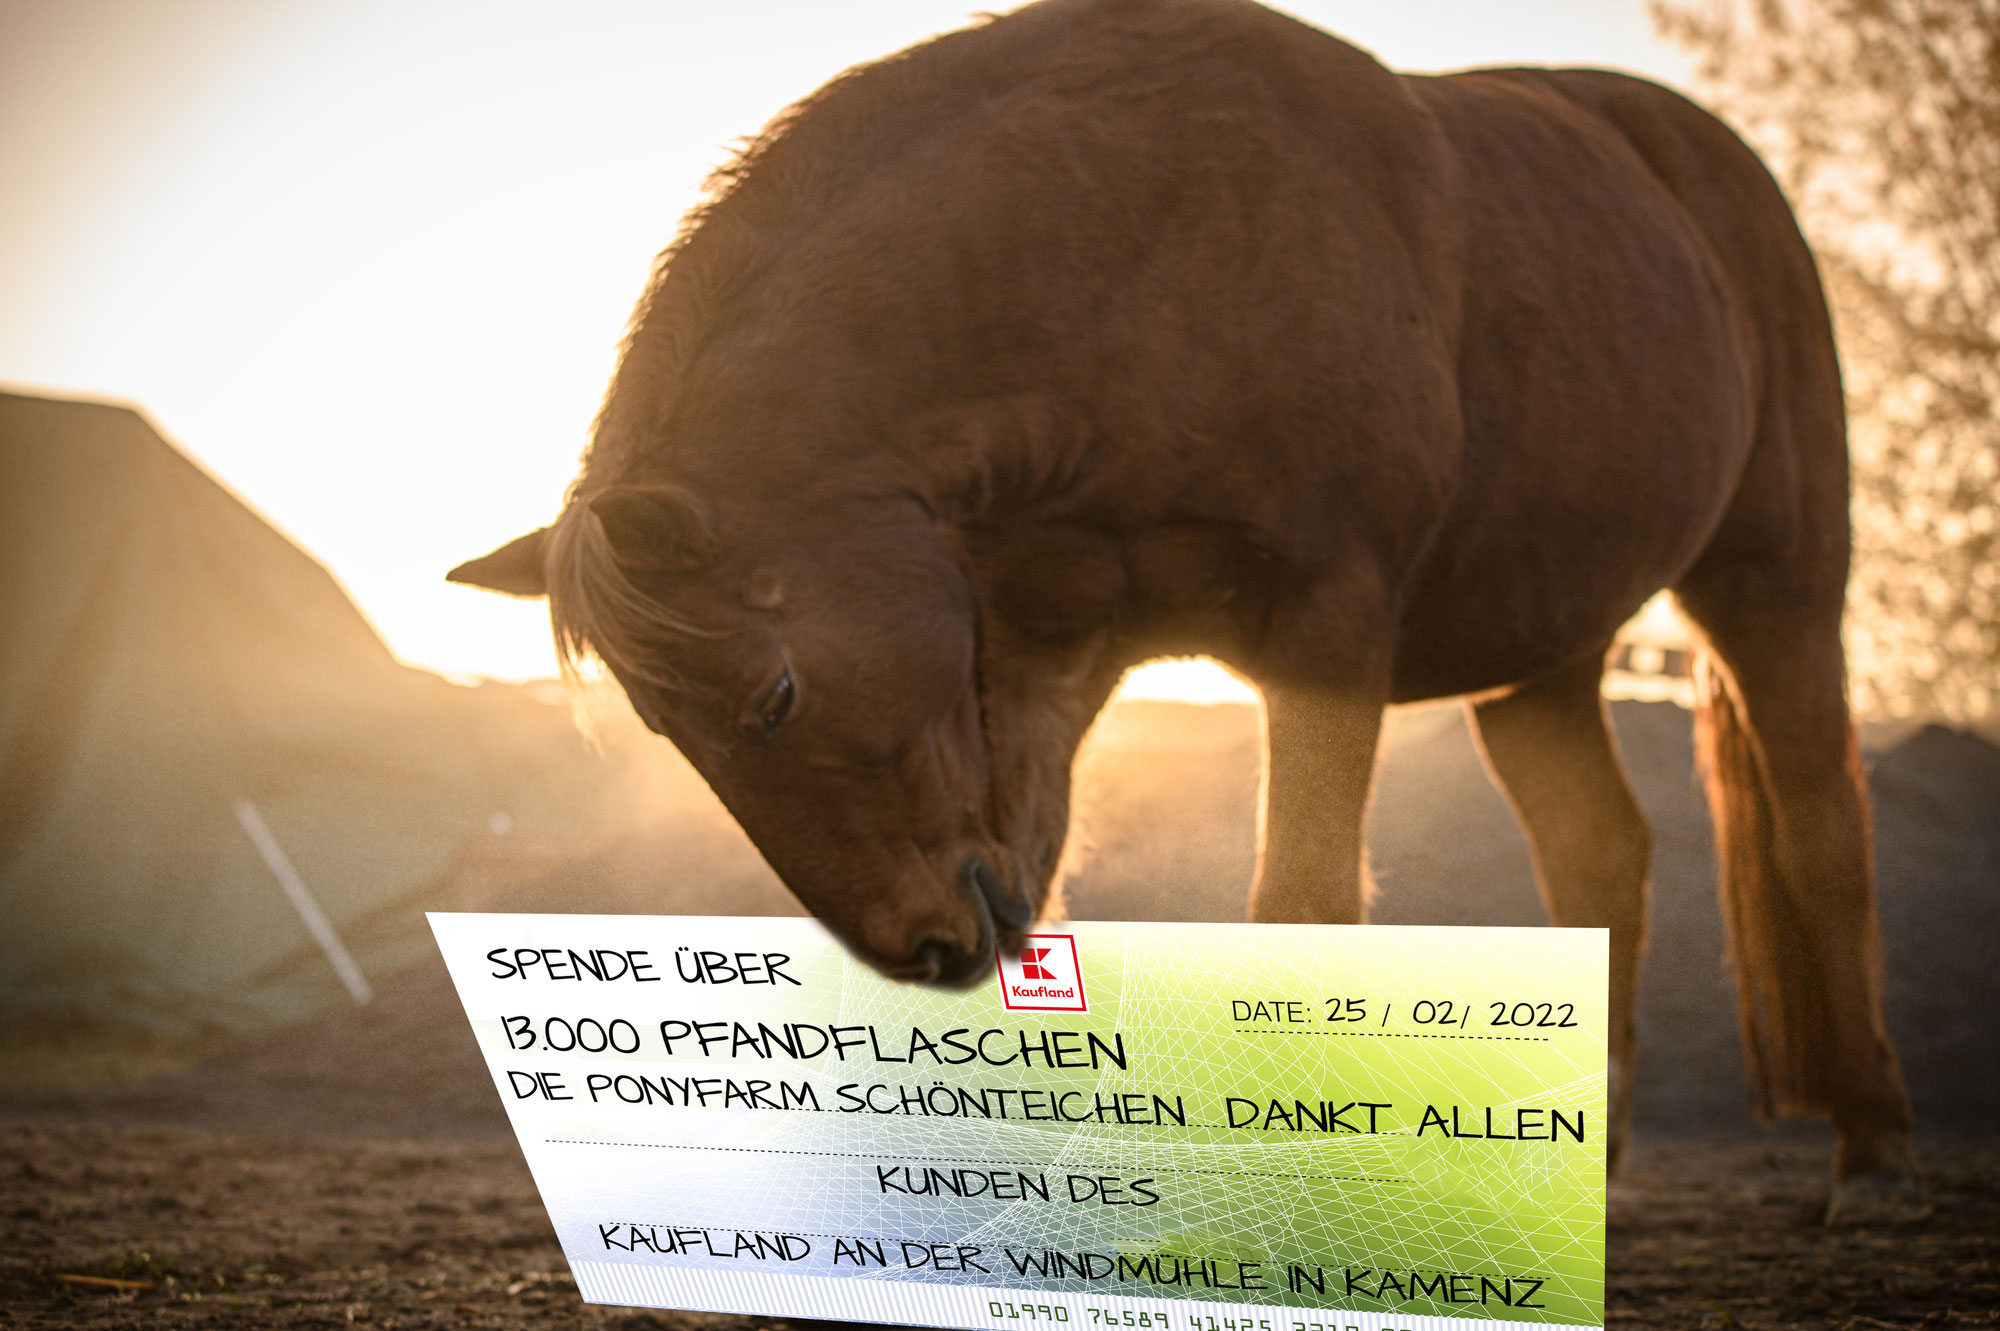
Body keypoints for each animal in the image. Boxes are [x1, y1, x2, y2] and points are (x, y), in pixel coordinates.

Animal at [454, 0, 1920, 1215]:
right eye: (665, 731)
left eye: (772, 693)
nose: (922, 945)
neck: (1131, 242)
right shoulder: (1041, 651)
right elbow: (1046, 866)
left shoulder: (1327, 633)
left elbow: (1301, 902)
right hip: (1540, 650)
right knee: (1599, 854)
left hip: (1776, 586)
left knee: (1823, 837)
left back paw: (1872, 1156)